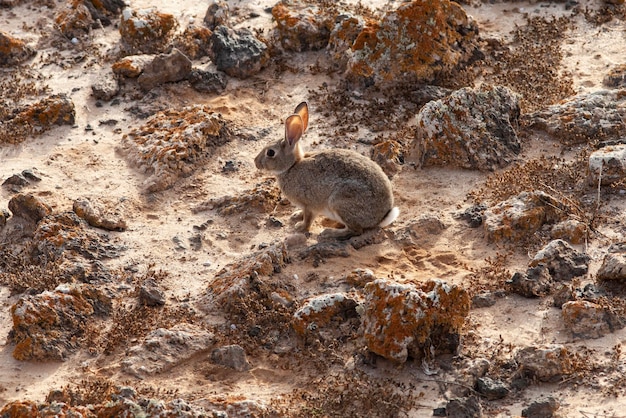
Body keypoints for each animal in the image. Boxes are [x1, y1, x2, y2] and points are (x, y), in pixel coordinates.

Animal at [255, 101, 398, 240]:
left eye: (270, 152)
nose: (256, 162)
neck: (292, 166)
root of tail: (382, 217)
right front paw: (296, 215)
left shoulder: (310, 204)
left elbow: (308, 219)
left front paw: (300, 227)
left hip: (340, 201)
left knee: (355, 230)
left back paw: (329, 233)